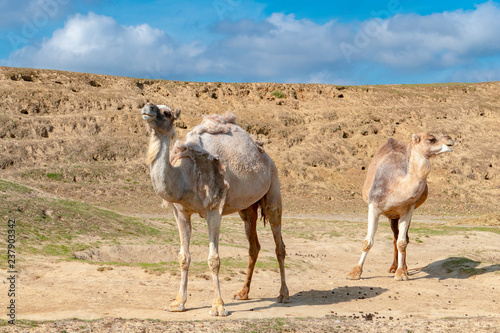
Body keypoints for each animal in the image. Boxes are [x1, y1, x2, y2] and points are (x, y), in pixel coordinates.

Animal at [141, 102, 290, 316]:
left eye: (167, 113)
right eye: (149, 104)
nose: (148, 108)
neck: (185, 175)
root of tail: (266, 156)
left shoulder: (213, 209)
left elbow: (214, 259)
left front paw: (218, 306)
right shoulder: (181, 212)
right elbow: (183, 257)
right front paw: (178, 303)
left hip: (273, 187)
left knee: (279, 243)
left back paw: (283, 294)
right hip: (247, 208)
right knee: (254, 245)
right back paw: (242, 293)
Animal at [348, 132, 454, 280]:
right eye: (431, 139)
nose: (450, 139)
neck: (395, 186)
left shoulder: (408, 209)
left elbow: (402, 242)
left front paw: (402, 273)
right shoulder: (374, 206)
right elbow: (367, 242)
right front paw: (355, 272)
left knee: (402, 238)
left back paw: (403, 268)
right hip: (391, 215)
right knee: (394, 236)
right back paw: (393, 267)